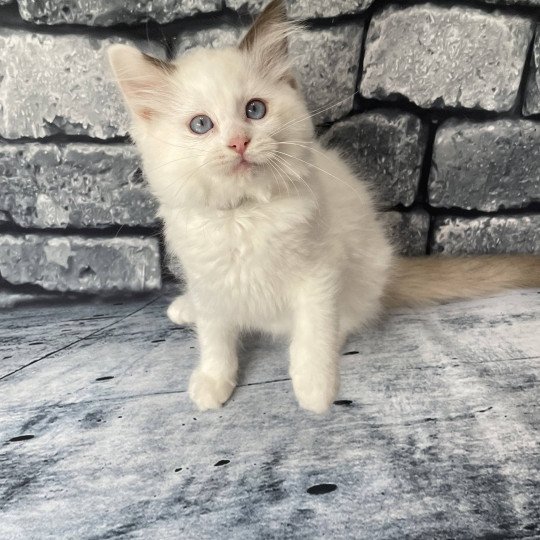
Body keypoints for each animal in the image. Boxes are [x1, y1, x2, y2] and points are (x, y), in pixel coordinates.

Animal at [108, 0, 540, 414]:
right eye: (201, 125)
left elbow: (312, 335)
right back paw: (186, 308)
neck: (244, 213)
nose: (238, 143)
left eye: (254, 110)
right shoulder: (209, 278)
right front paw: (215, 381)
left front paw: (316, 391)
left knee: (344, 319)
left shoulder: (318, 274)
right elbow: (216, 338)